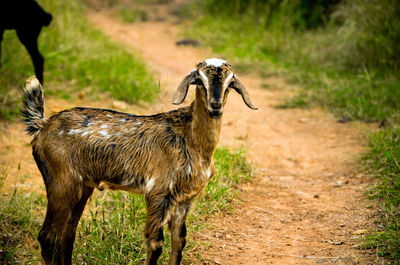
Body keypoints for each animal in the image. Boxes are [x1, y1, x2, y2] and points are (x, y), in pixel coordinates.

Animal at [21, 58, 258, 264]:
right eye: (199, 80)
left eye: (230, 83)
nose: (215, 106)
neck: (190, 138)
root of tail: (42, 125)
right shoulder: (158, 192)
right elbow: (155, 243)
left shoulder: (186, 198)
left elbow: (179, 241)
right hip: (62, 181)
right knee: (48, 236)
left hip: (82, 186)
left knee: (67, 233)